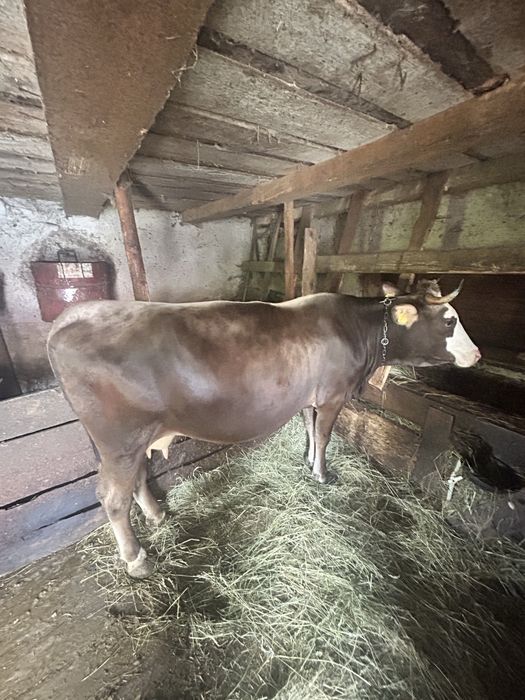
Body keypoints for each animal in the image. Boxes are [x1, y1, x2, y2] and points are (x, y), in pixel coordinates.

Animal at [47, 280, 480, 578]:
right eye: (450, 320)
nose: (477, 354)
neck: (357, 331)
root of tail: (73, 317)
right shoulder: (333, 395)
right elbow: (325, 434)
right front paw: (322, 474)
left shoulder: (309, 396)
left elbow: (309, 429)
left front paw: (308, 460)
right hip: (121, 440)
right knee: (112, 498)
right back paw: (137, 559)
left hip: (130, 442)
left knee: (137, 479)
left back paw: (157, 515)